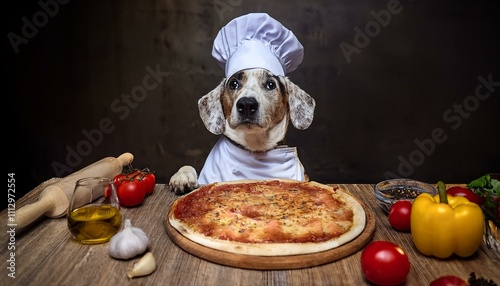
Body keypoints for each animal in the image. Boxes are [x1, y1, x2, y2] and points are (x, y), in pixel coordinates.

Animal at [170, 69, 314, 194]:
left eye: (270, 84)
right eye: (233, 84)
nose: (246, 104)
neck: (255, 144)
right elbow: (188, 167)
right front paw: (183, 176)